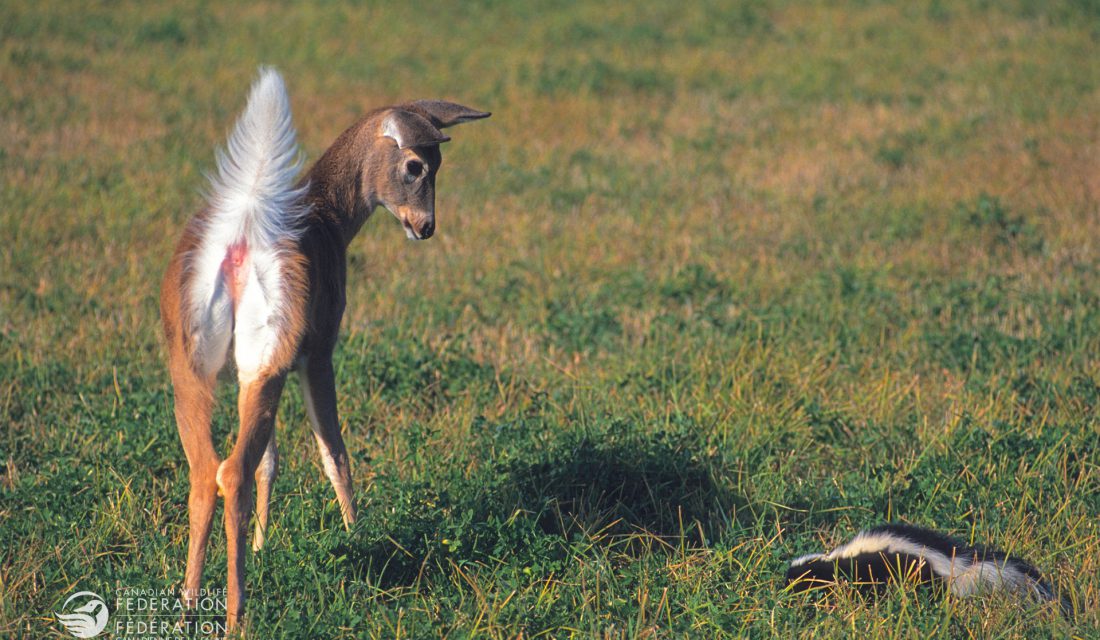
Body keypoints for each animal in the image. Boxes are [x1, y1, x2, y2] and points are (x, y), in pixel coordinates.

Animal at [787, 527, 1069, 615]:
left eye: (796, 582)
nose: (785, 592)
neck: (835, 559)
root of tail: (953, 564)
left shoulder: (861, 572)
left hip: (919, 576)